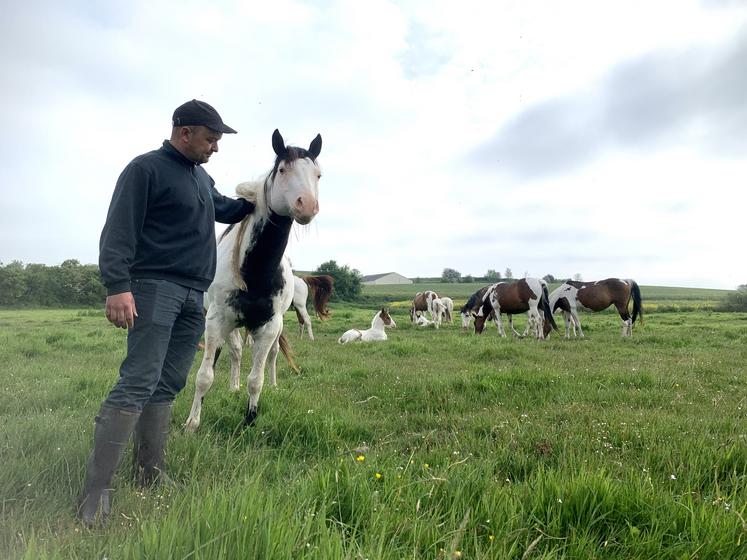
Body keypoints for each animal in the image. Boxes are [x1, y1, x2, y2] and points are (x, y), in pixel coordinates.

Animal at [186, 130, 322, 428]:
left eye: (318, 174)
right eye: (282, 170)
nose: (307, 205)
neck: (256, 272)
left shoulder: (269, 327)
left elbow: (256, 379)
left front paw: (250, 418)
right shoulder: (216, 321)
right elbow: (205, 376)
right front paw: (192, 422)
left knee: (271, 358)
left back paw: (273, 384)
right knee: (235, 353)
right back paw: (233, 386)